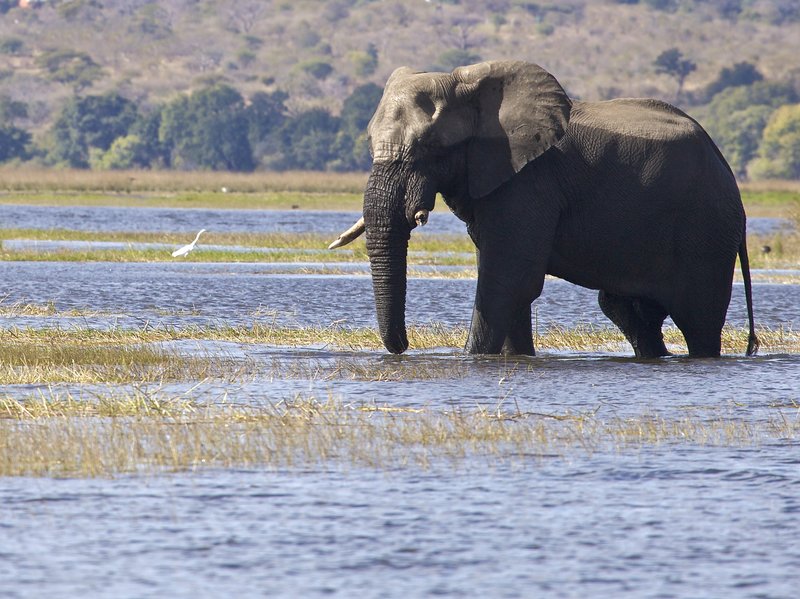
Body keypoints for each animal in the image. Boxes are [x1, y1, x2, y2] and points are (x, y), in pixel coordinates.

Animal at [329, 60, 759, 358]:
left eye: (432, 147)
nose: (403, 349)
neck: (469, 84)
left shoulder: (530, 183)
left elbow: (508, 280)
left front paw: (469, 359)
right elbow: (509, 285)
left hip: (706, 231)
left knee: (699, 322)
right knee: (628, 313)